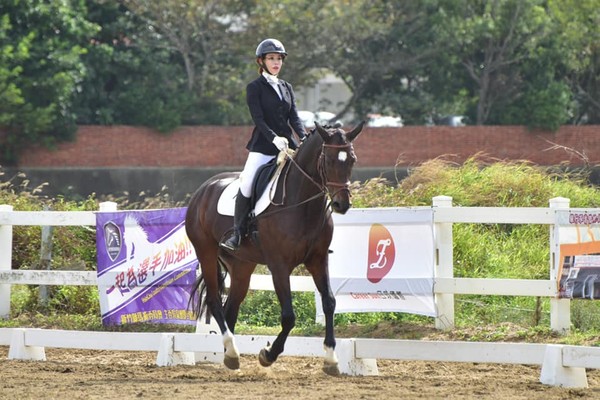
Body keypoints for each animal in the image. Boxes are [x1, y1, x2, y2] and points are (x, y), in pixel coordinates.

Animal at [184, 122, 360, 376]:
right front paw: (268, 354)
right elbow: (288, 317)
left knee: (230, 309)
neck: (303, 204)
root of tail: (203, 189)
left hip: (241, 265)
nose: (341, 204)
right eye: (327, 160)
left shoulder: (318, 260)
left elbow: (329, 303)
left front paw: (331, 359)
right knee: (216, 303)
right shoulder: (279, 265)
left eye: (352, 160)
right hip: (206, 253)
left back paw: (230, 355)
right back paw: (232, 352)